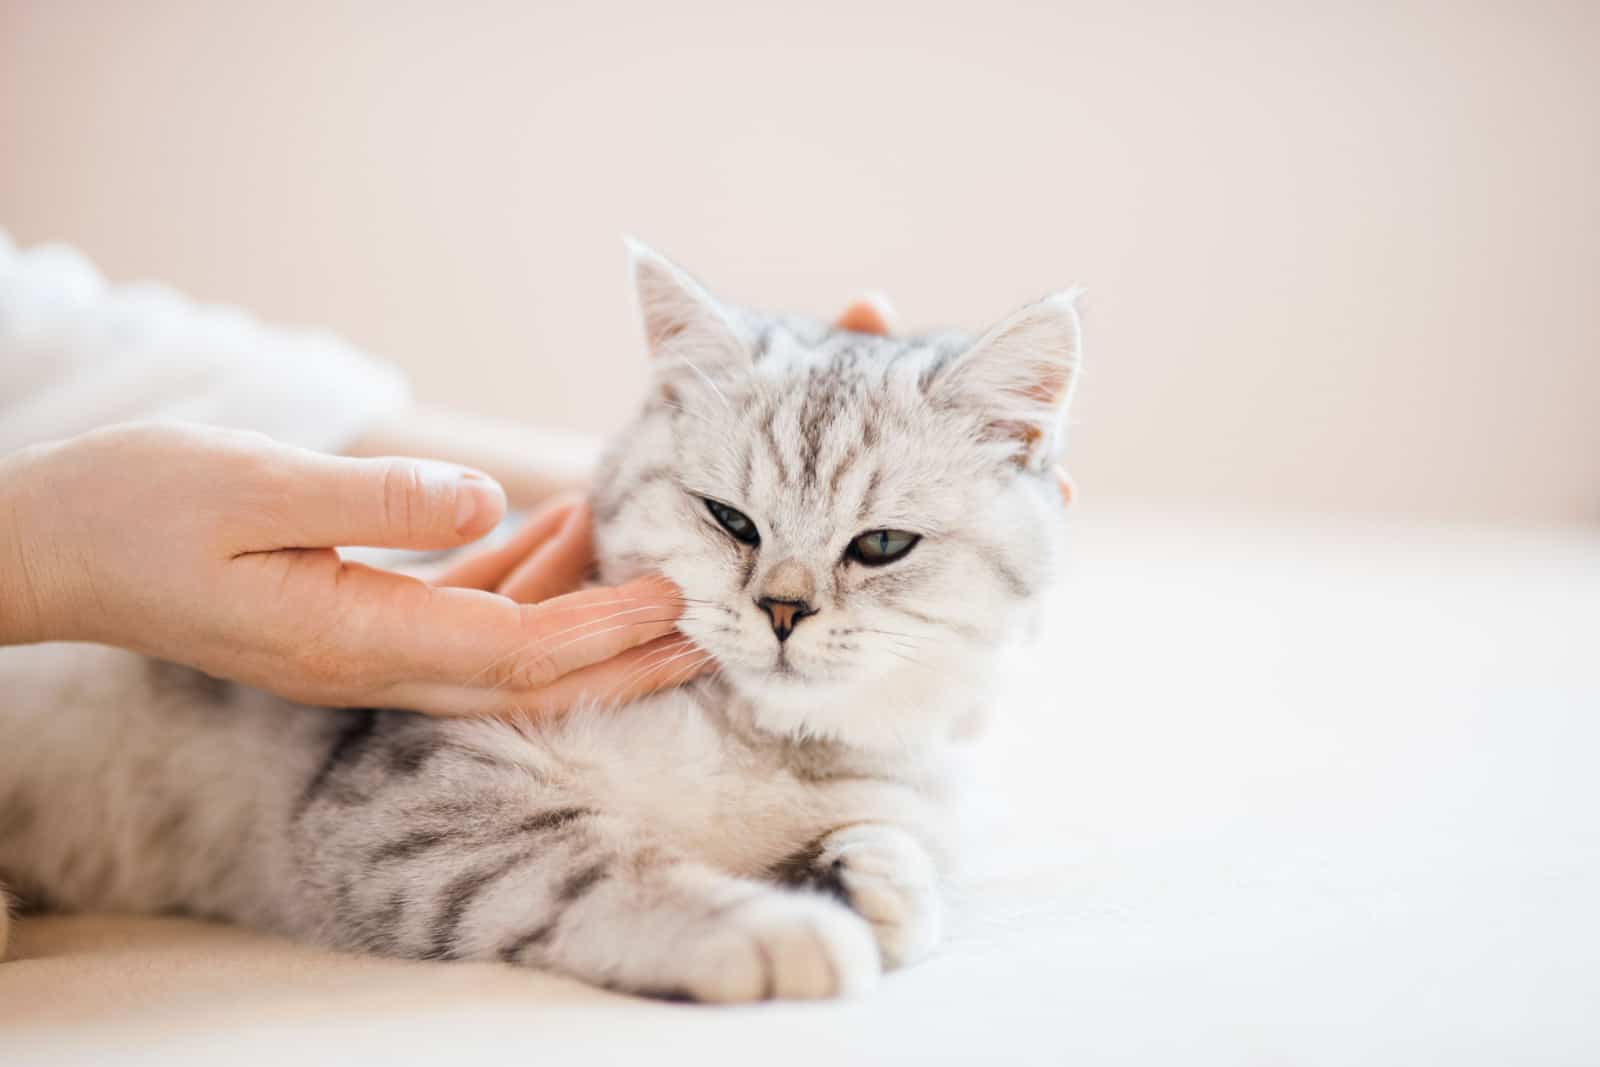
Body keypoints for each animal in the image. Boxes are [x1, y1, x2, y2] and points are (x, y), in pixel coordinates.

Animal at [0, 244, 1081, 1004]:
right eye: (729, 519)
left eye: (882, 544)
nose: (781, 608)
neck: (759, 745)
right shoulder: (410, 802)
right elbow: (598, 864)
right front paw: (773, 926)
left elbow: (897, 840)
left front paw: (867, 879)